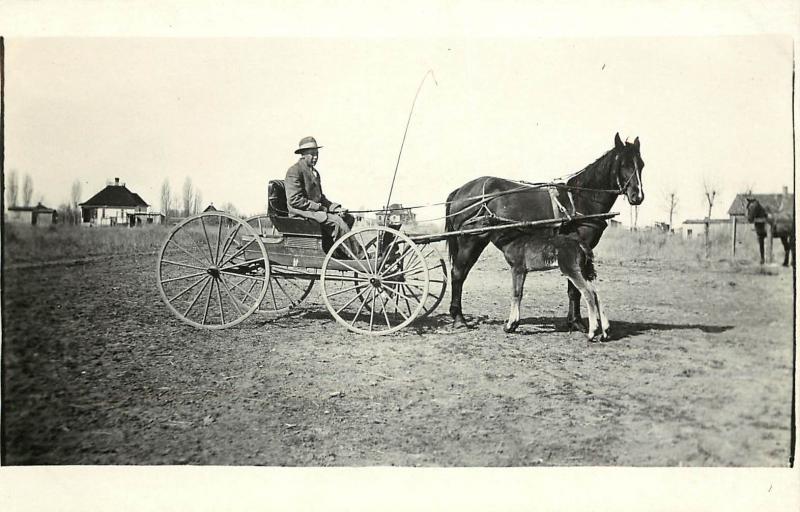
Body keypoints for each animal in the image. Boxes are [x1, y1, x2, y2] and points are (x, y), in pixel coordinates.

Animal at [446, 134, 648, 338]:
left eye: (641, 164)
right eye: (624, 164)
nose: (637, 196)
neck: (580, 199)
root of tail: (460, 191)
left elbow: (576, 289)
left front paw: (576, 322)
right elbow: (574, 290)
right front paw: (577, 323)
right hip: (470, 241)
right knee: (458, 274)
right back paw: (459, 319)